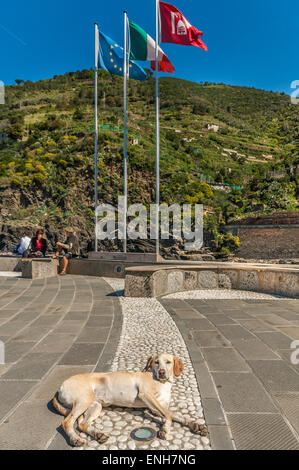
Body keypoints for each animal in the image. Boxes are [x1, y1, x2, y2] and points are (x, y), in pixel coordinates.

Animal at [53, 352, 209, 448]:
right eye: (156, 362)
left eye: (168, 362)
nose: (161, 372)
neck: (163, 383)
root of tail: (60, 387)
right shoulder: (146, 396)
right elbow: (169, 416)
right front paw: (165, 429)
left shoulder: (156, 407)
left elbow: (175, 415)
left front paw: (196, 425)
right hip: (84, 400)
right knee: (67, 422)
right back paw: (75, 439)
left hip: (95, 406)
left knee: (82, 424)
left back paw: (98, 434)